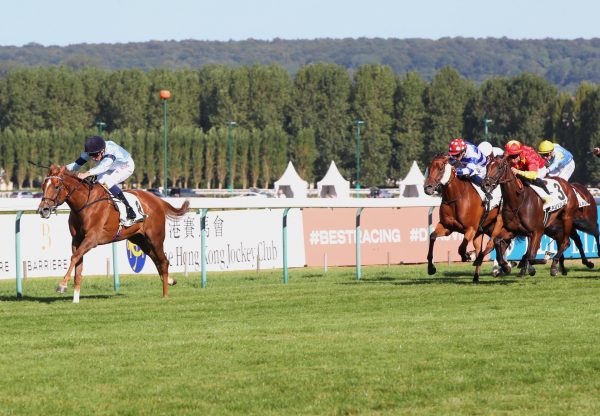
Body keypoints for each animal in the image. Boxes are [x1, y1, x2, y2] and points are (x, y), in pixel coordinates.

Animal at [35, 163, 190, 302]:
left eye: (56, 186)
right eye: (43, 186)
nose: (43, 210)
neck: (84, 203)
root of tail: (157, 199)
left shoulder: (92, 238)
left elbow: (74, 257)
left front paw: (62, 285)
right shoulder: (77, 239)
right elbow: (77, 264)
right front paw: (75, 299)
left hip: (155, 238)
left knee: (163, 261)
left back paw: (165, 294)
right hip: (139, 239)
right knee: (155, 259)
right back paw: (169, 280)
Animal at [422, 154, 510, 282]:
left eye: (441, 169)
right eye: (429, 168)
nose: (427, 187)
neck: (456, 197)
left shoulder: (471, 229)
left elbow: (461, 248)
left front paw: (468, 255)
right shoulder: (447, 226)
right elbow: (432, 237)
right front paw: (431, 268)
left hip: (498, 223)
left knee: (491, 244)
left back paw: (499, 266)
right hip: (482, 230)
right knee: (485, 247)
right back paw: (478, 275)